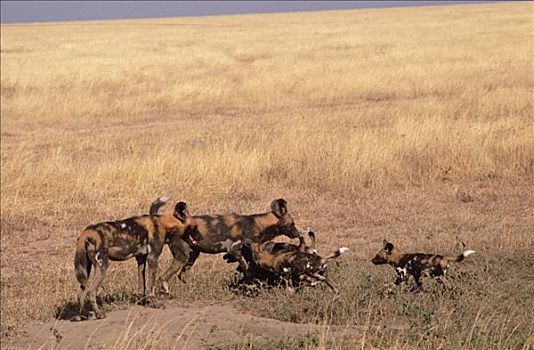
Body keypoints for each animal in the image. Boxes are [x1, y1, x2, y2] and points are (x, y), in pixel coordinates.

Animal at [158, 198, 302, 294]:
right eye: (292, 224)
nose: (298, 233)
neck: (260, 225)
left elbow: (250, 271)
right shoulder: (233, 250)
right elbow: (249, 271)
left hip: (192, 256)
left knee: (181, 275)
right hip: (183, 256)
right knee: (163, 277)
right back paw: (166, 291)